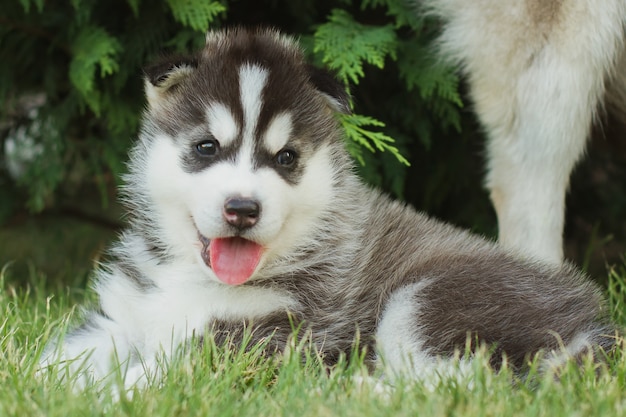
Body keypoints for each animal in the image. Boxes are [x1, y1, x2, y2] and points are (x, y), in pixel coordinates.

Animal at [41, 28, 612, 386]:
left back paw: (359, 390)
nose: (242, 208)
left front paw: (112, 392)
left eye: (286, 158)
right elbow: (60, 359)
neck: (193, 276)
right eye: (207, 147)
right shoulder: (119, 319)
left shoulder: (264, 337)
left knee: (467, 386)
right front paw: (50, 384)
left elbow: (156, 373)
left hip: (429, 301)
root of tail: (592, 316)